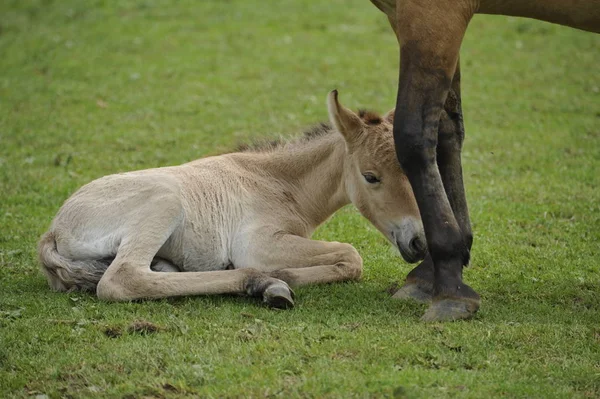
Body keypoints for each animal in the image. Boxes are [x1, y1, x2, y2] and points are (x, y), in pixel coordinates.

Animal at [38, 91, 426, 310]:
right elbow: (351, 255)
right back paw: (262, 282)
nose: (419, 242)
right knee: (123, 279)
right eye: (370, 176)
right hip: (164, 202)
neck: (276, 182)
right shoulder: (258, 243)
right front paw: (278, 275)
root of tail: (53, 231)